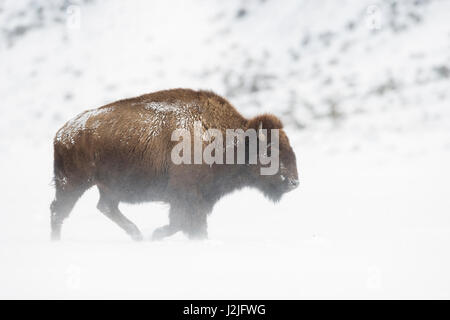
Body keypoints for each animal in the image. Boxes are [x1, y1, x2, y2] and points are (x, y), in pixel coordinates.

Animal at [51, 87, 298, 240]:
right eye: (269, 150)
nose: (294, 182)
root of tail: (63, 132)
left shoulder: (198, 198)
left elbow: (183, 224)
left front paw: (155, 235)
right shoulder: (188, 196)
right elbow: (187, 224)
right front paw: (159, 235)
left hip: (106, 187)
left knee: (104, 207)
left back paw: (137, 235)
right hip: (74, 182)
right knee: (59, 210)